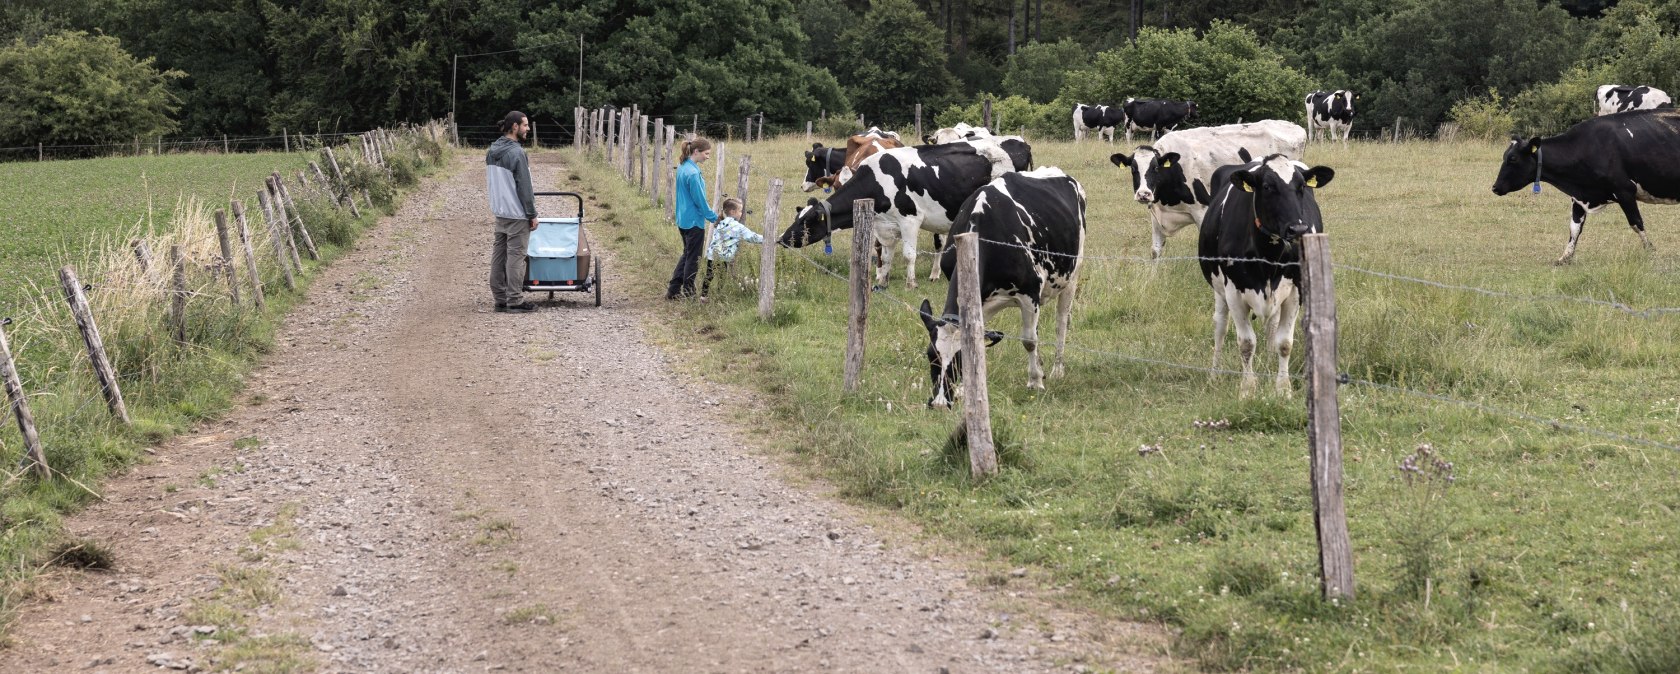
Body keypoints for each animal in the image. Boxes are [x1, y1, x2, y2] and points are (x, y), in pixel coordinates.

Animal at [772, 140, 1021, 287]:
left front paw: (911, 284)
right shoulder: (884, 225)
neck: (878, 182)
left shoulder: (910, 220)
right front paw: (882, 281)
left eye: (806, 222)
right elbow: (887, 254)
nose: (781, 238)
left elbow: (909, 255)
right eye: (797, 217)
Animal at [920, 168, 1088, 410]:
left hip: (1072, 275)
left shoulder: (1029, 293)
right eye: (930, 355)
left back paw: (1057, 369)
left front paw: (1035, 381)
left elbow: (1029, 341)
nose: (940, 403)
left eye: (960, 358)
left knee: (1060, 324)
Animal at [1115, 119, 1310, 258]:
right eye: (1133, 169)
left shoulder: (1202, 211)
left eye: (1156, 168)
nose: (1143, 194)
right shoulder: (1157, 213)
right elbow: (1155, 251)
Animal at [1196, 154, 1337, 396]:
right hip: (1219, 290)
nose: (1298, 230)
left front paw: (1283, 389)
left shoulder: (1296, 290)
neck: (1268, 255)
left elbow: (1284, 342)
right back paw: (1214, 375)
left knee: (1272, 325)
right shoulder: (1234, 290)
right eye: (1268, 187)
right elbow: (1246, 343)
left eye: (1301, 187)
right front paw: (1247, 389)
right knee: (1220, 327)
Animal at [1491, 107, 1673, 262]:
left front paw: (1651, 251)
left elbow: (1636, 222)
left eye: (1513, 158)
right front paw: (1565, 257)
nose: (1495, 187)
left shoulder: (1625, 191)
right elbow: (1574, 227)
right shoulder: (1578, 196)